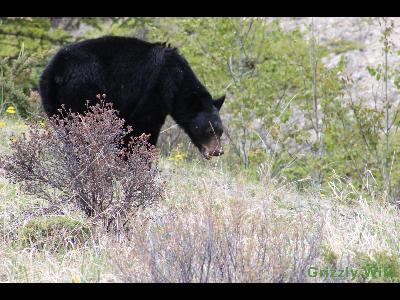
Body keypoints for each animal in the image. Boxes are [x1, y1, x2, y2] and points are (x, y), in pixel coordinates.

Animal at [39, 35, 227, 159]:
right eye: (209, 130)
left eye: (221, 131)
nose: (218, 151)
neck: (179, 79)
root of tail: (55, 71)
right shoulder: (155, 92)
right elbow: (144, 129)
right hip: (83, 92)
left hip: (53, 101)